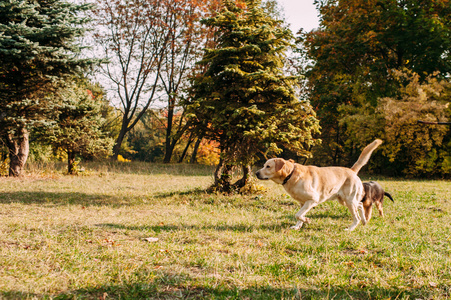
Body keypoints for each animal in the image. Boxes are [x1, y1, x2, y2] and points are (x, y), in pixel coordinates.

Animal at [256, 139, 384, 231]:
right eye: (264, 165)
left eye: (268, 166)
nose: (256, 173)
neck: (291, 174)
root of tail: (351, 170)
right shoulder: (302, 203)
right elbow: (299, 215)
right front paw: (298, 226)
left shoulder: (312, 200)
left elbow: (298, 215)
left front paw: (306, 220)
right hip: (344, 200)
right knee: (360, 205)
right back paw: (364, 221)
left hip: (349, 200)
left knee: (356, 216)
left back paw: (350, 228)